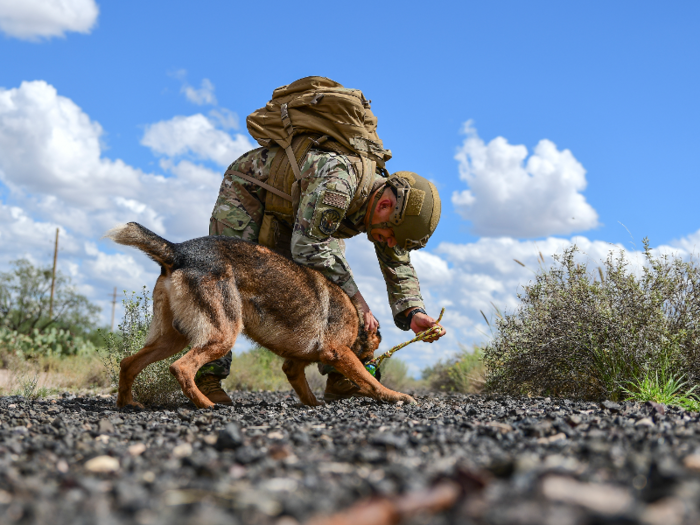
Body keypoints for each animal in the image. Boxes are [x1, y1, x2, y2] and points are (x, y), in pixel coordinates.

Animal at [105, 223, 416, 408]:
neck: (357, 319)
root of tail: (178, 250)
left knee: (128, 363)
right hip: (221, 335)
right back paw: (206, 405)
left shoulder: (294, 365)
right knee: (180, 368)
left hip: (172, 338)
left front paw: (315, 406)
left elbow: (306, 390)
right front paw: (394, 395)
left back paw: (127, 403)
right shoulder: (338, 352)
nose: (377, 365)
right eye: (371, 356)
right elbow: (369, 381)